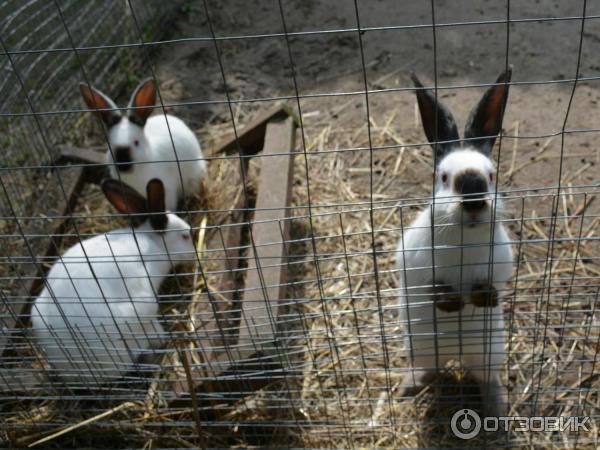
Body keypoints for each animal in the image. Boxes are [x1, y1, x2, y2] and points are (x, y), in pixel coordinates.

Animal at [394, 68, 516, 416]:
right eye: (444, 177)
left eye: (491, 175)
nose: (474, 200)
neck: (464, 238)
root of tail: (455, 353)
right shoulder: (413, 264)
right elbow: (431, 286)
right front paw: (452, 303)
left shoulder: (500, 264)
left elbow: (490, 285)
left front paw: (479, 298)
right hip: (420, 344)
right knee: (430, 367)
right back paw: (408, 386)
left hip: (489, 350)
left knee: (485, 376)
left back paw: (496, 409)